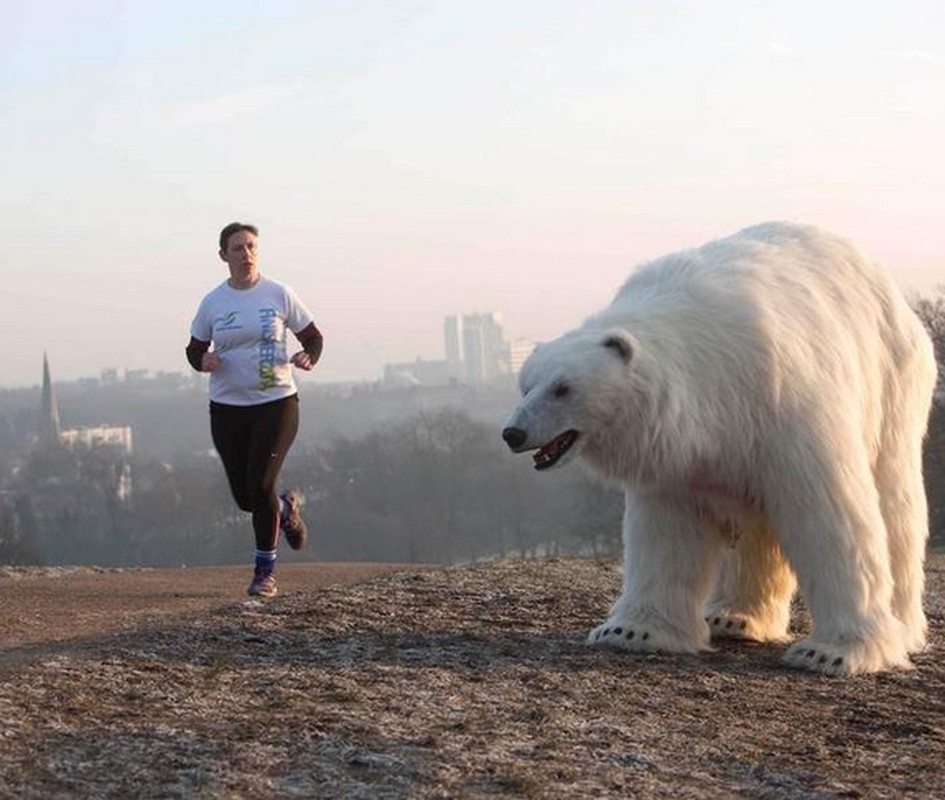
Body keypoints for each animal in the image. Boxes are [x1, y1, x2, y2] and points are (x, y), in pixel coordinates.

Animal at [506, 223, 932, 676]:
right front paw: (628, 631)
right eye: (526, 385)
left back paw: (903, 627)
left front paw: (832, 652)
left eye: (563, 388)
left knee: (895, 504)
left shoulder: (782, 406)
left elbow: (827, 514)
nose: (512, 433)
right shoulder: (678, 455)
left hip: (893, 381)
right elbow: (667, 531)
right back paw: (731, 617)